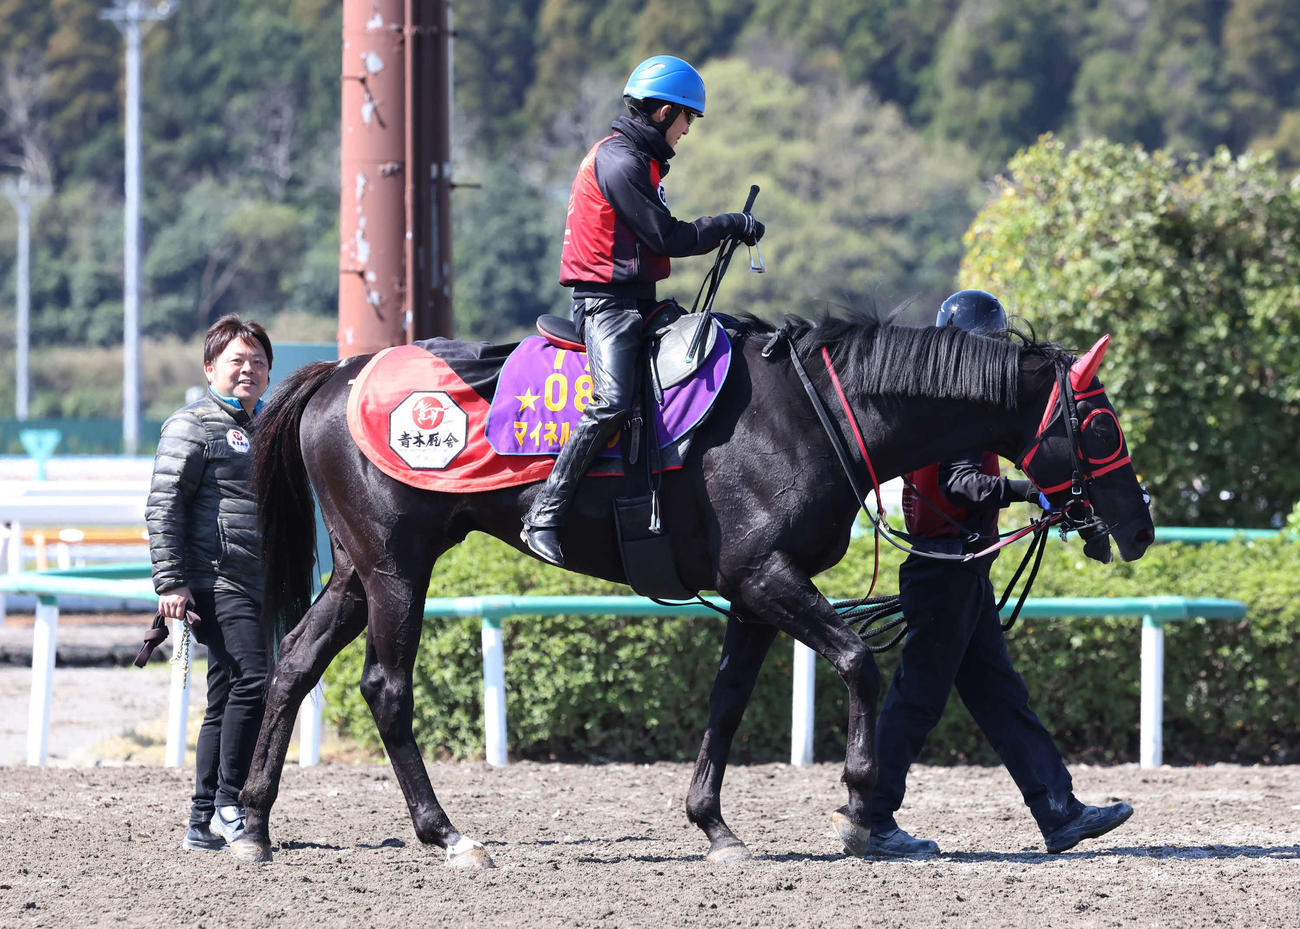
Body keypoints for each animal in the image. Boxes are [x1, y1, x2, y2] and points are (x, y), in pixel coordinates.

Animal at [232, 314, 1154, 866]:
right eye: (1102, 423)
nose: (1140, 525)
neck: (807, 414)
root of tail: (338, 372)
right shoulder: (766, 575)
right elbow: (860, 660)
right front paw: (859, 805)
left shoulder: (750, 594)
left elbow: (728, 700)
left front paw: (713, 822)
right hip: (399, 568)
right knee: (386, 688)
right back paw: (446, 832)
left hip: (359, 572)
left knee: (294, 665)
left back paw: (254, 821)